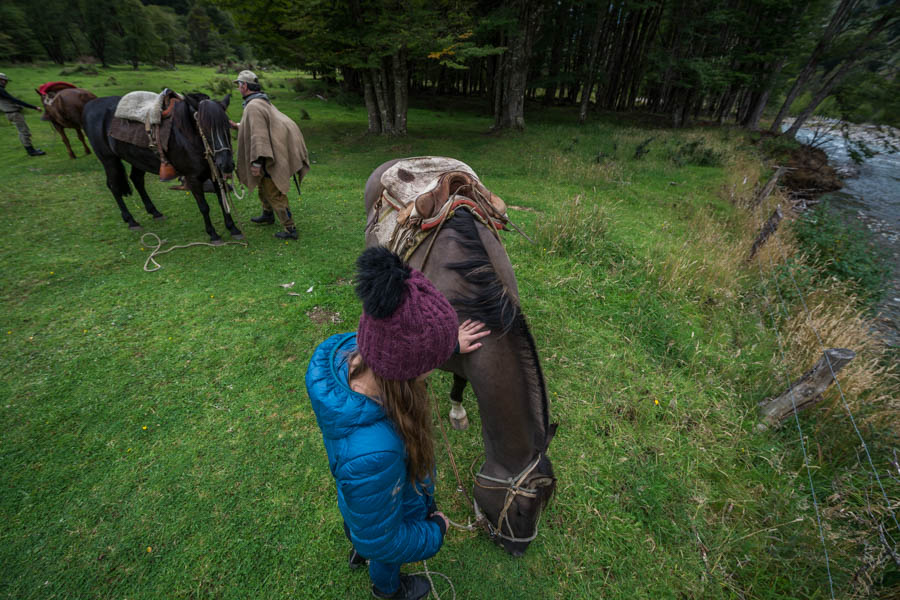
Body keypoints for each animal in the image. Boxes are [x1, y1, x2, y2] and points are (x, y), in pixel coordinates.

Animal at [81, 92, 241, 241]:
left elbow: (222, 201)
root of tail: (89, 105)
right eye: (204, 128)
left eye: (228, 126)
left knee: (137, 180)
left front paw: (233, 228)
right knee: (114, 186)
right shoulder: (193, 178)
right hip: (109, 160)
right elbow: (204, 207)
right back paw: (131, 220)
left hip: (138, 160)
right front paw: (213, 234)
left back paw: (154, 212)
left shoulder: (215, 173)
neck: (188, 136)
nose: (226, 164)